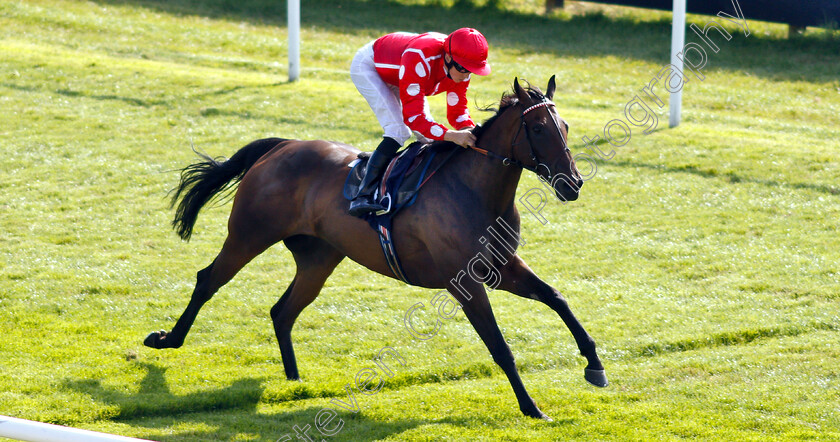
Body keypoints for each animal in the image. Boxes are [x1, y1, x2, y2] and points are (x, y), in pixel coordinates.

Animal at [143, 77, 604, 422]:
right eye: (539, 129)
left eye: (565, 127)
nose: (573, 184)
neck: (475, 191)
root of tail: (283, 144)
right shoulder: (465, 282)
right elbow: (500, 347)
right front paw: (532, 407)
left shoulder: (501, 267)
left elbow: (557, 298)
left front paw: (594, 366)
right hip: (248, 235)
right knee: (208, 280)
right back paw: (166, 339)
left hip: (318, 257)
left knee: (283, 311)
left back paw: (294, 381)